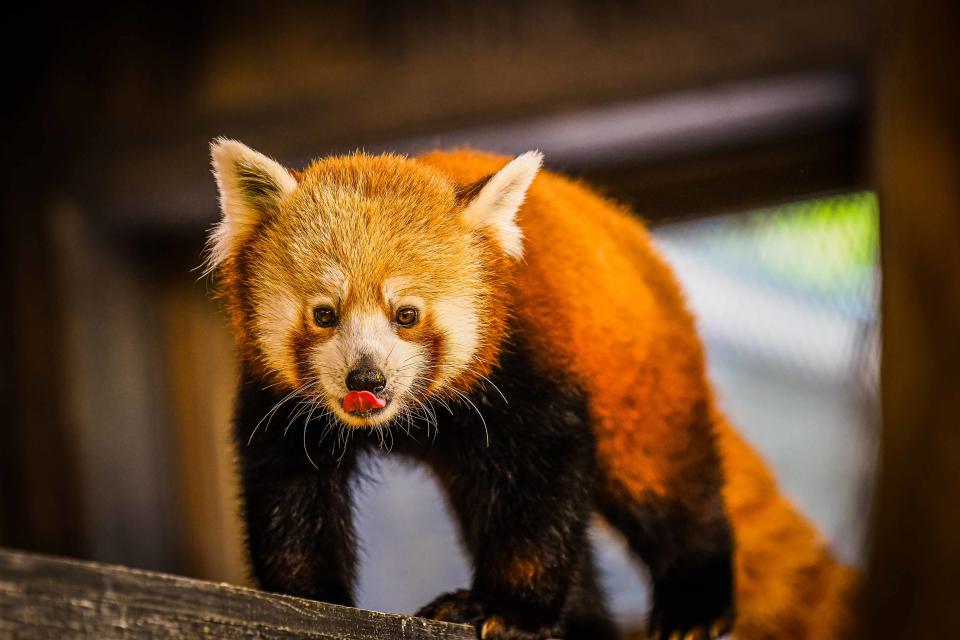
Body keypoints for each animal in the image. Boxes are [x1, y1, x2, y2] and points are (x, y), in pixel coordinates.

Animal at [208, 141, 856, 640]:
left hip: (643, 378)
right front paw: (306, 600)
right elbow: (290, 492)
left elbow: (541, 480)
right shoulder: (281, 404)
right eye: (325, 314)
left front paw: (510, 610)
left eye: (406, 315)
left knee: (664, 487)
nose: (366, 379)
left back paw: (693, 606)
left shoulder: (527, 364)